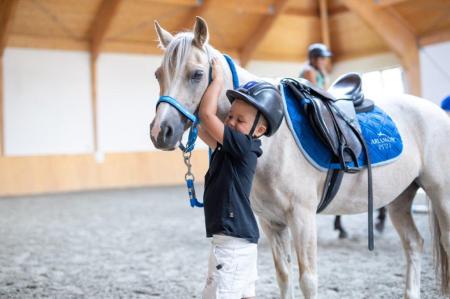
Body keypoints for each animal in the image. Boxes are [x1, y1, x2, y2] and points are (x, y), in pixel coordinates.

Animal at [150, 17, 450, 299]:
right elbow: (283, 275)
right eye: (158, 74)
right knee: (414, 243)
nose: (160, 132)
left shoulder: (302, 217)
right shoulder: (272, 222)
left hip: (441, 197)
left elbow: (308, 280)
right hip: (400, 198)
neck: (272, 141)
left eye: (197, 74)